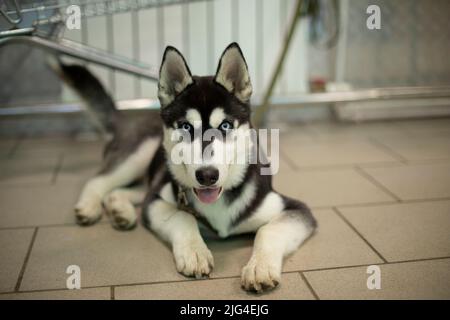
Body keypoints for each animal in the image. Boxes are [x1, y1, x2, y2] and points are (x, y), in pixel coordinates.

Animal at [54, 43, 316, 292]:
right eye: (186, 127)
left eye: (225, 125)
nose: (207, 176)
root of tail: (126, 118)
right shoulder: (157, 203)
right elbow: (183, 216)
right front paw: (195, 252)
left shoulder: (296, 209)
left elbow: (268, 230)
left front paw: (259, 268)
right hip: (140, 155)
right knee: (99, 180)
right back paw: (89, 207)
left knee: (129, 190)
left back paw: (121, 210)